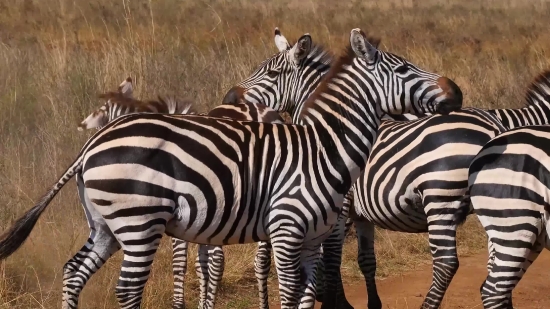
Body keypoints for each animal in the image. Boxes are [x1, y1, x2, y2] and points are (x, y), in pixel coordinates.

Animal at [78, 77, 288, 308]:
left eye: (100, 115)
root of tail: (257, 111)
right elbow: (201, 264)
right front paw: (203, 303)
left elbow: (183, 263)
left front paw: (185, 303)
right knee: (261, 259)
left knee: (225, 260)